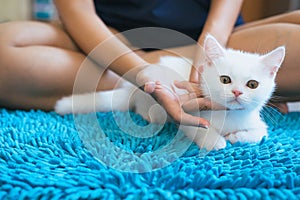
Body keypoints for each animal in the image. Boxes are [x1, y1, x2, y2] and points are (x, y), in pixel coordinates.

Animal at [55, 34, 284, 150]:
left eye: (252, 84)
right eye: (225, 80)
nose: (237, 92)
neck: (228, 116)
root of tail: (130, 89)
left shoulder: (257, 122)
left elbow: (260, 133)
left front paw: (237, 136)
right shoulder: (188, 115)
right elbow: (198, 128)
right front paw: (215, 141)